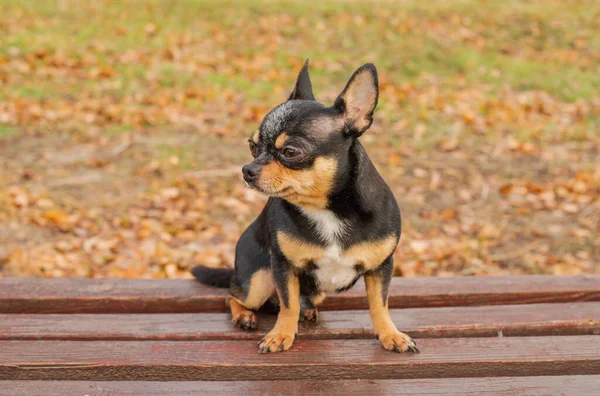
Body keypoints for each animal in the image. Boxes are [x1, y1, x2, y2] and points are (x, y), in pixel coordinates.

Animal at [192, 60, 418, 354]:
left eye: (290, 152)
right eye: (252, 146)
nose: (247, 170)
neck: (326, 209)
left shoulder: (381, 268)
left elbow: (379, 304)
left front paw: (390, 334)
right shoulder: (283, 267)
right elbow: (288, 304)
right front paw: (281, 335)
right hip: (258, 280)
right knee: (234, 296)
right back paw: (244, 315)